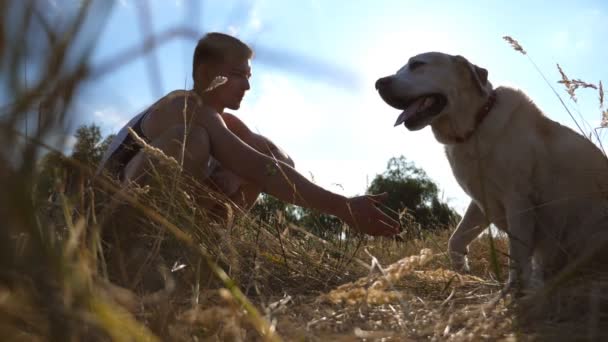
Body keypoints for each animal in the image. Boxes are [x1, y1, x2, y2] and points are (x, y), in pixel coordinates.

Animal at [376, 51, 608, 292]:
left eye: (417, 64)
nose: (378, 83)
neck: (475, 127)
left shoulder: (518, 201)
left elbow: (516, 253)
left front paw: (513, 291)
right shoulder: (481, 201)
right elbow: (455, 240)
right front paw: (461, 269)